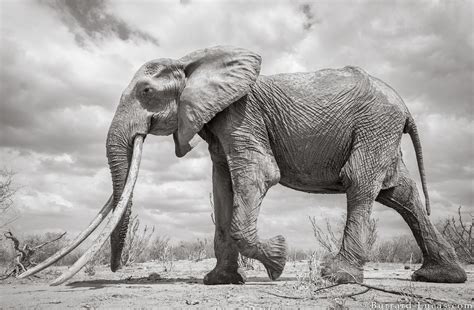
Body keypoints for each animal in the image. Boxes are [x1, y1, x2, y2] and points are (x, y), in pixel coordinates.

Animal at [22, 44, 466, 284]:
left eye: (146, 92)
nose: (114, 270)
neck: (192, 61)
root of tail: (406, 108)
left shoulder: (242, 115)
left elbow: (256, 176)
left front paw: (278, 262)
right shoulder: (219, 127)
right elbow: (222, 186)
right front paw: (219, 281)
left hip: (375, 125)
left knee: (361, 183)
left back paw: (336, 277)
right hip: (381, 131)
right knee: (400, 194)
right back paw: (441, 277)